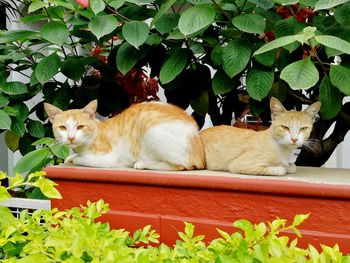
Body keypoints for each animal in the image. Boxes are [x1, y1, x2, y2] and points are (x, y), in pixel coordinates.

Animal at [44, 100, 206, 171]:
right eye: (63, 127)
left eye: (80, 127)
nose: (71, 137)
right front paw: (70, 157)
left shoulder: (107, 159)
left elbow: (81, 160)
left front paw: (75, 159)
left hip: (151, 129)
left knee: (180, 166)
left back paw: (142, 163)